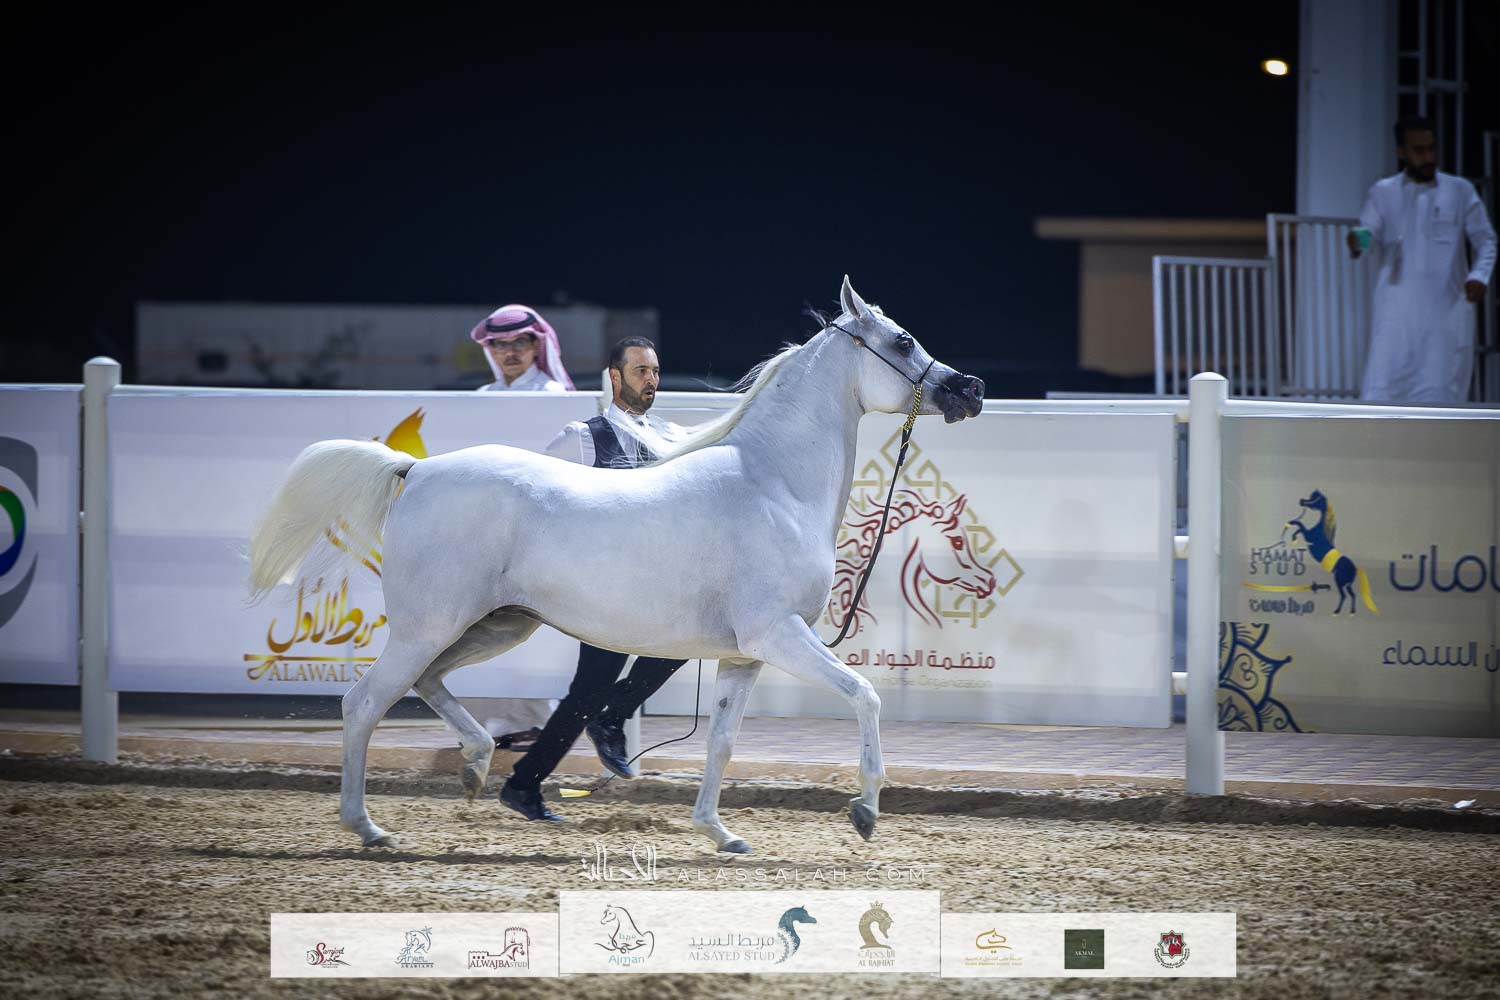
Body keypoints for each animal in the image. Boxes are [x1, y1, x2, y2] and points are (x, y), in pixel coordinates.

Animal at [246, 276, 985, 853]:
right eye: (903, 341)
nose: (971, 389)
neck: (772, 484)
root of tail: (418, 470)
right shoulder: (778, 635)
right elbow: (864, 695)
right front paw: (864, 811)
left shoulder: (742, 656)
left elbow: (720, 742)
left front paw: (721, 833)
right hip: (429, 624)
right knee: (365, 702)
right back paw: (369, 827)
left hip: (493, 624)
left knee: (429, 684)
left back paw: (477, 769)